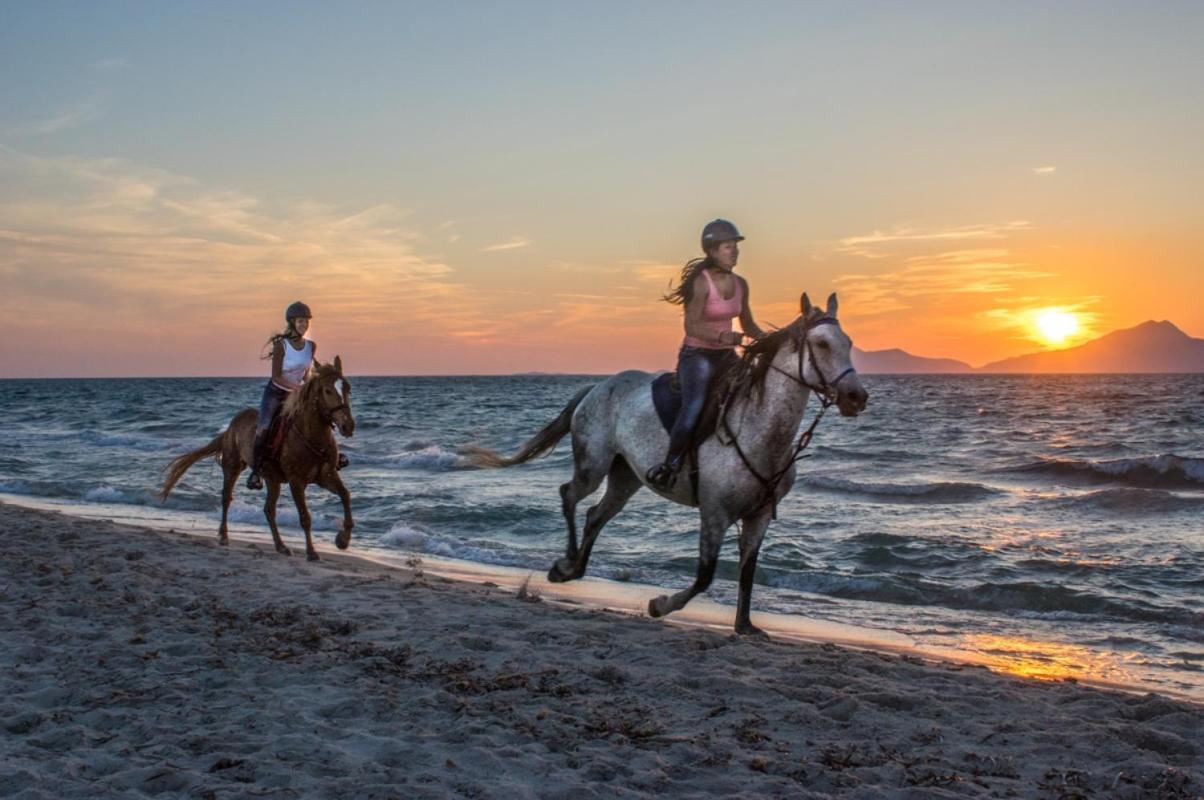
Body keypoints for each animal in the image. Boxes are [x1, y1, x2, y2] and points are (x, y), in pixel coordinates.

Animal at [162, 359, 353, 559]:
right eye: (328, 391)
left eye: (348, 389)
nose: (348, 426)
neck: (311, 436)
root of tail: (232, 425)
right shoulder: (296, 481)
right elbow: (305, 516)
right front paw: (312, 552)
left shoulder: (327, 476)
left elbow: (345, 495)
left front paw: (343, 540)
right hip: (232, 467)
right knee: (226, 498)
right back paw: (224, 536)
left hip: (272, 478)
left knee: (269, 510)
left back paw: (281, 546)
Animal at [467, 290, 866, 636]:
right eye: (821, 344)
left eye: (848, 343)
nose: (856, 397)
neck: (760, 431)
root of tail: (597, 387)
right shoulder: (715, 512)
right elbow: (705, 576)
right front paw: (659, 605)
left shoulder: (760, 516)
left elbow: (748, 571)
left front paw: (745, 627)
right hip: (593, 465)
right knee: (569, 494)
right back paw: (564, 564)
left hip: (625, 477)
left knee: (596, 515)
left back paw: (573, 570)